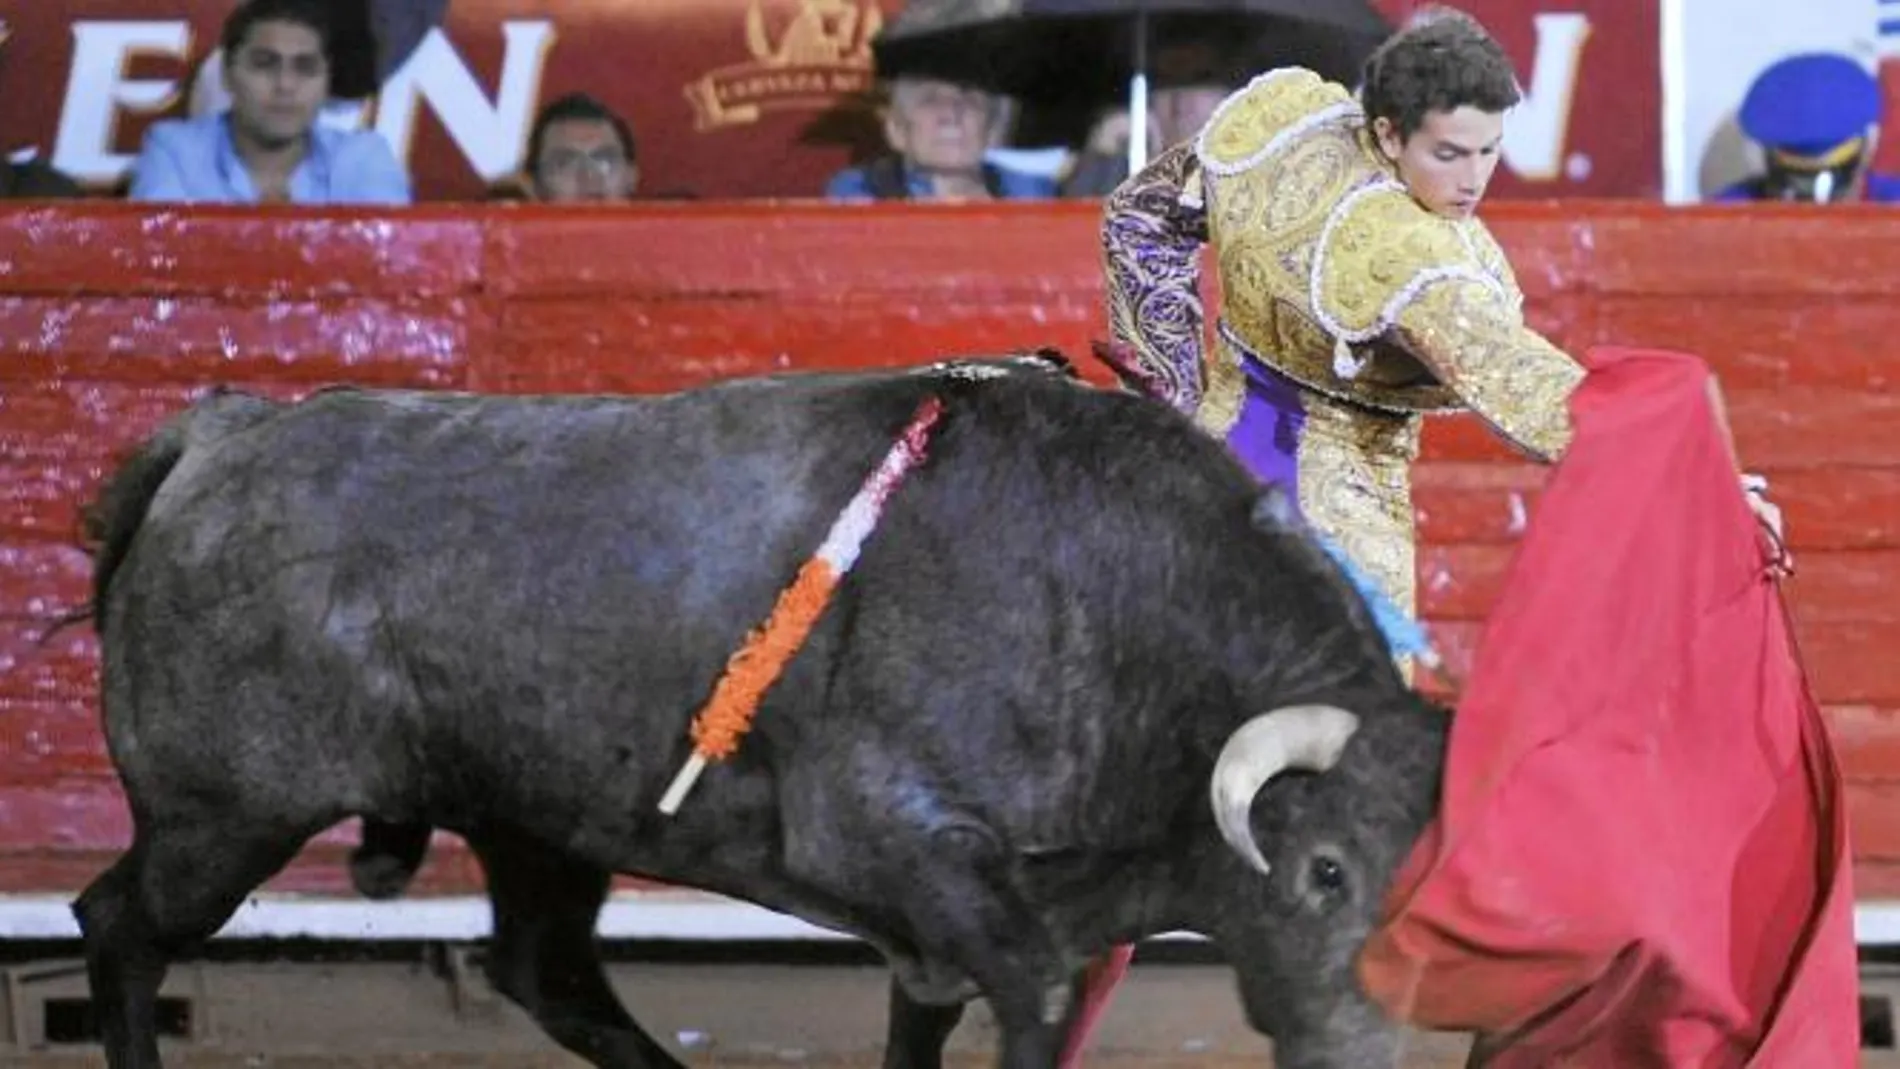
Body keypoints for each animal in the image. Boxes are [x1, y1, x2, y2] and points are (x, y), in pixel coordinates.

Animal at [70, 356, 1436, 1069]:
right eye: (1324, 870)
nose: (1369, 1050)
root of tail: (226, 434)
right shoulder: (903, 846)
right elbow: (1036, 1003)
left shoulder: (955, 926)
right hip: (222, 815)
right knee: (120, 925)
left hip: (536, 820)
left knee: (543, 969)